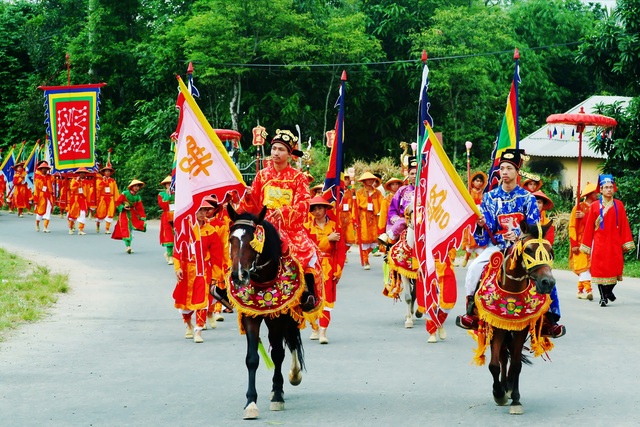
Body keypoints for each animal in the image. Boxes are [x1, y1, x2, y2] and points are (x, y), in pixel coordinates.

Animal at [225, 205, 304, 422]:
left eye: (252, 240)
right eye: (231, 239)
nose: (239, 275)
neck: (263, 282)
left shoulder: (278, 316)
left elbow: (277, 354)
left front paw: (277, 396)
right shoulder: (251, 317)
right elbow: (252, 359)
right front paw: (251, 403)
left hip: (288, 317)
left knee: (291, 342)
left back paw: (293, 376)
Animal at [480, 222, 556, 416]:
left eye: (550, 251)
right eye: (528, 249)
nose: (548, 283)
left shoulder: (521, 329)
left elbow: (516, 365)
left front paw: (515, 399)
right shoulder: (497, 327)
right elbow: (494, 364)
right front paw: (498, 393)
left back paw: (508, 386)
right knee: (502, 357)